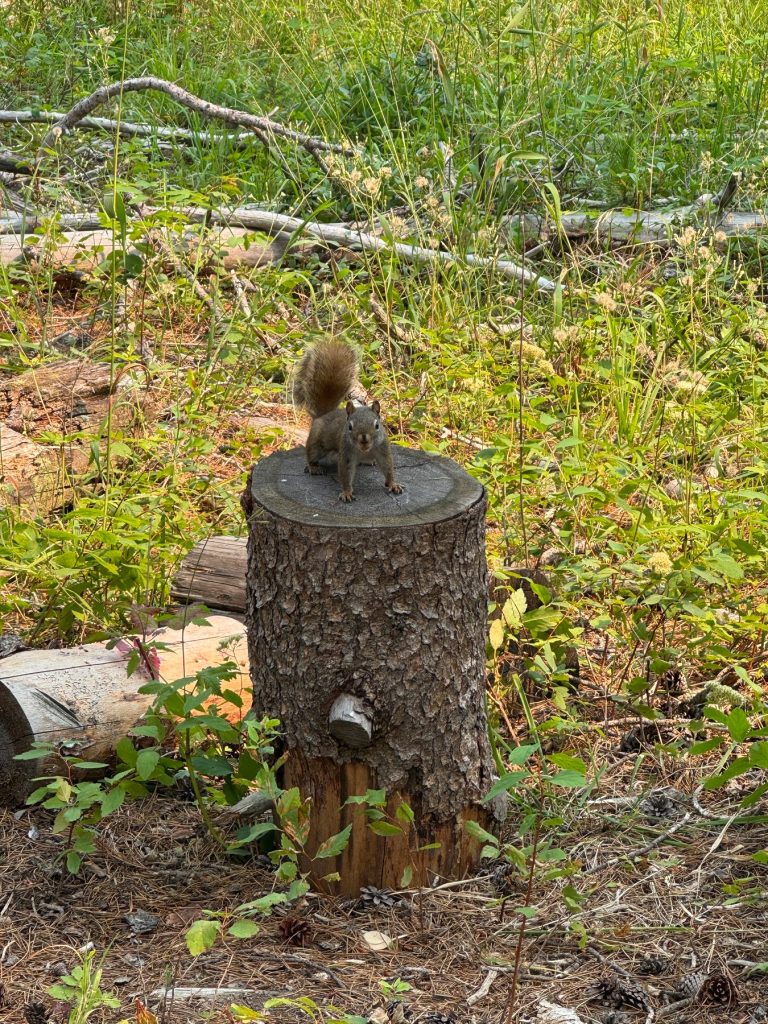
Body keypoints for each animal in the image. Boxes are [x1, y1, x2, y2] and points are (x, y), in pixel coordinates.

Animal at [293, 339, 403, 503]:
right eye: (349, 427)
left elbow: (388, 468)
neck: (364, 450)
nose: (364, 439)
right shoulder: (346, 454)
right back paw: (314, 468)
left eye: (377, 425)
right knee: (311, 455)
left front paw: (393, 484)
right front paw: (346, 492)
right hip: (316, 443)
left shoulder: (383, 450)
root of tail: (324, 415)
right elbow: (345, 474)